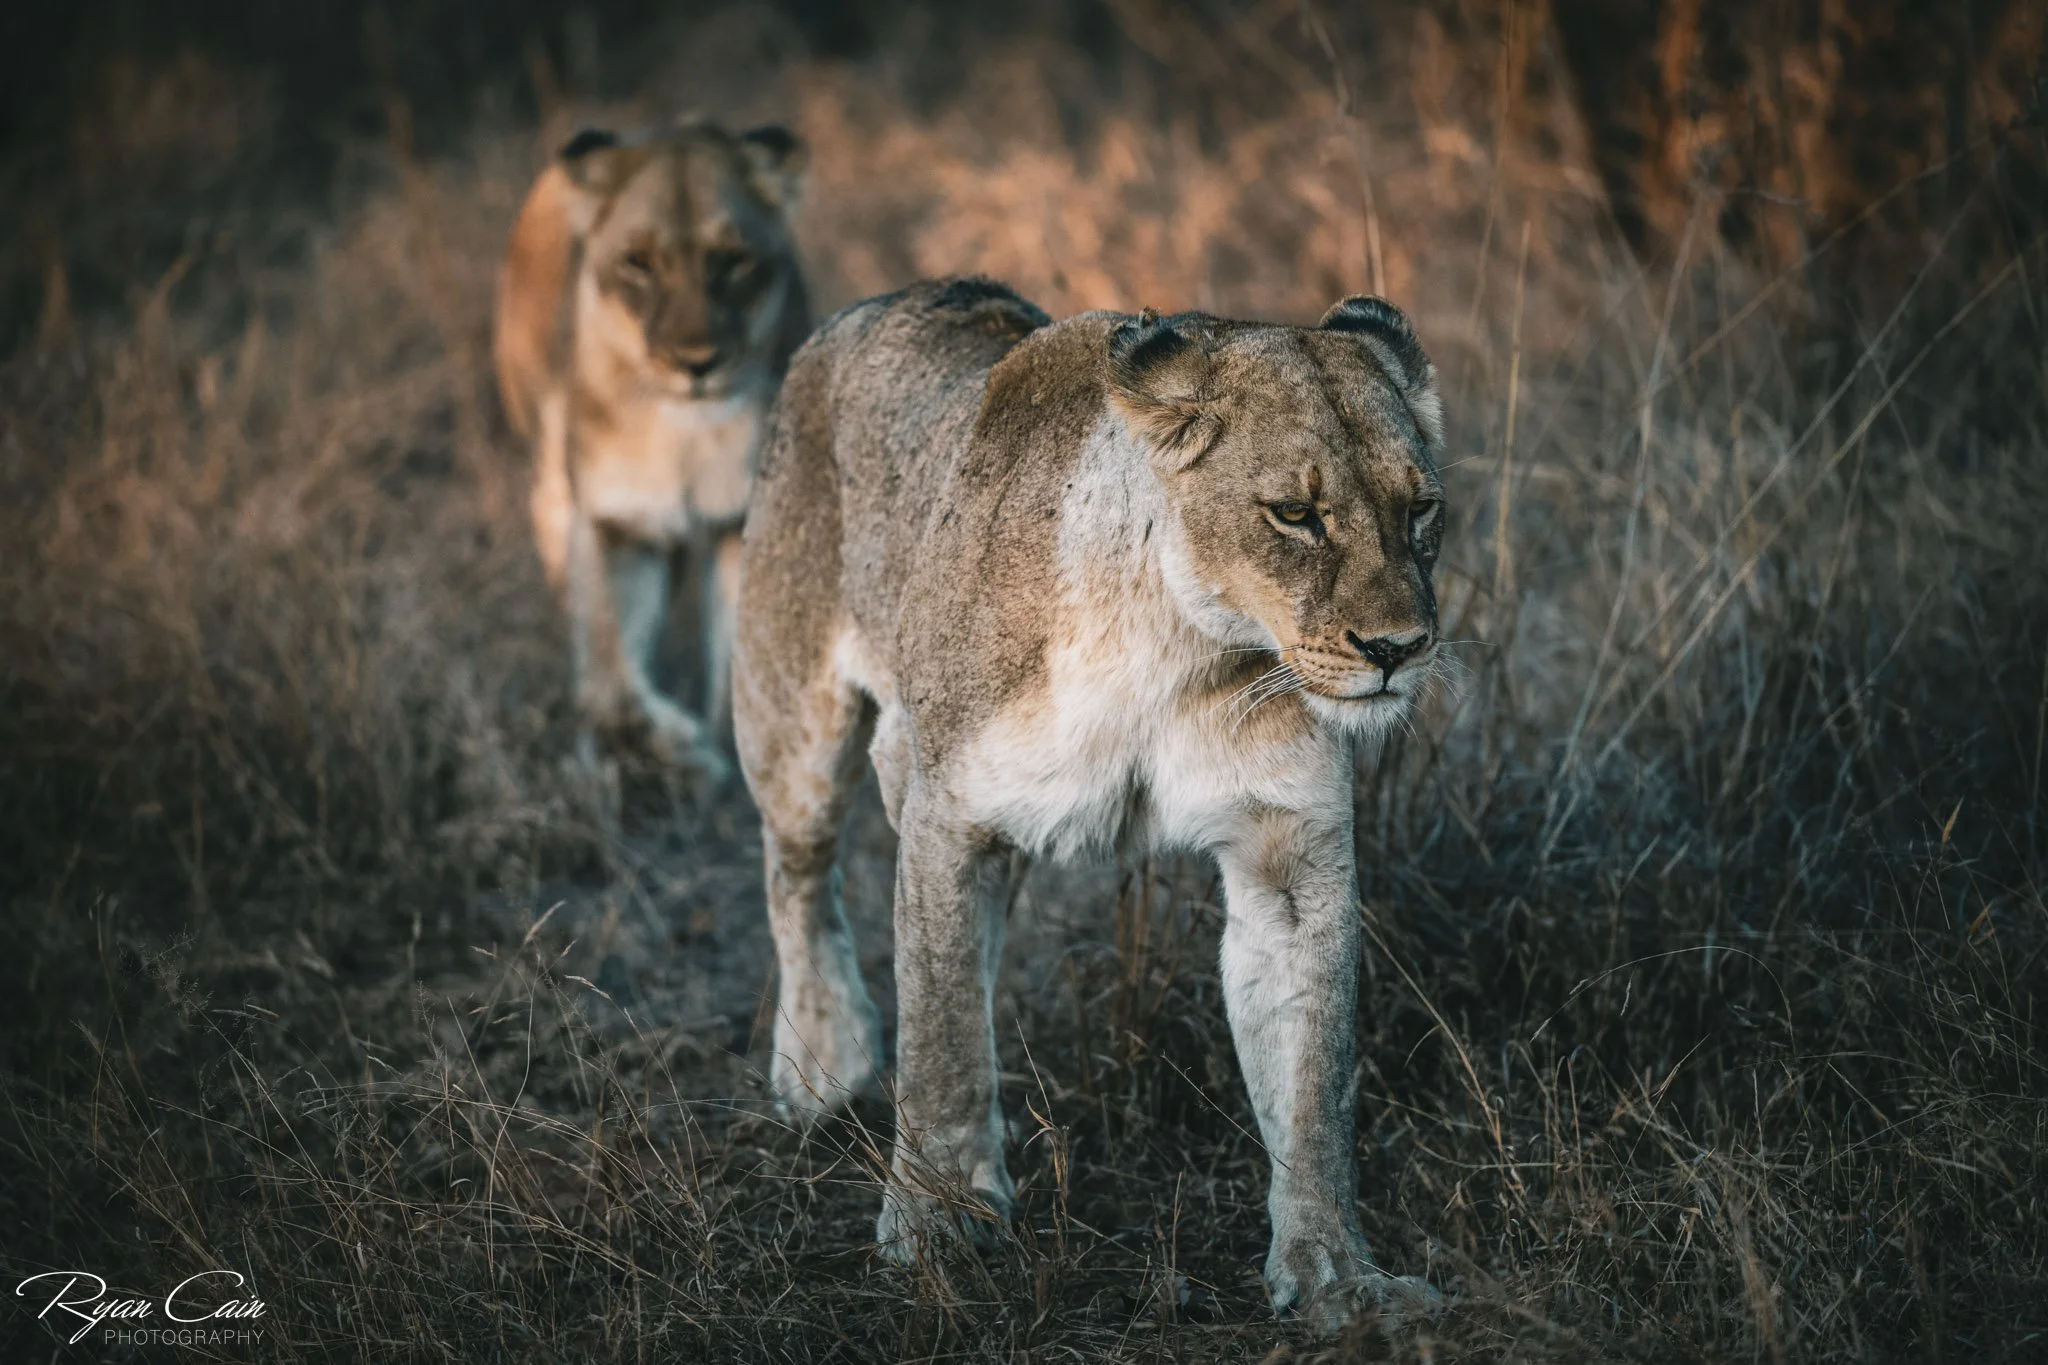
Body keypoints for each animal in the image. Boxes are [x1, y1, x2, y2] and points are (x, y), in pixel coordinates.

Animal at [494, 118, 810, 778]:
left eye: (733, 260)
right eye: (638, 262)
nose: (697, 363)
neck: (685, 433)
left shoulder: (747, 519)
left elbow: (742, 661)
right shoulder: (618, 523)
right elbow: (611, 682)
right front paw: (680, 752)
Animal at [733, 276, 1449, 1326]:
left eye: (1423, 508)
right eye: (1294, 514)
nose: (1398, 648)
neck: (1179, 641)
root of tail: (883, 300)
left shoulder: (1291, 850)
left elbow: (1314, 1082)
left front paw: (1337, 1276)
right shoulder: (948, 811)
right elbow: (942, 1041)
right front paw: (936, 1225)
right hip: (794, 724)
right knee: (798, 877)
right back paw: (823, 1061)